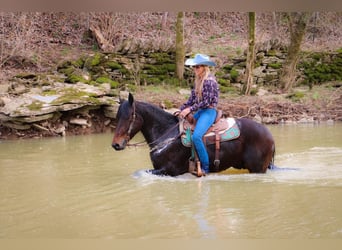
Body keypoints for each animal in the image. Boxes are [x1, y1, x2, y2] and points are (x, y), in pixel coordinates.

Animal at [112, 93, 276, 177]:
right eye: (117, 117)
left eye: (129, 117)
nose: (116, 144)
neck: (167, 135)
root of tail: (269, 135)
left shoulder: (169, 170)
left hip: (257, 169)